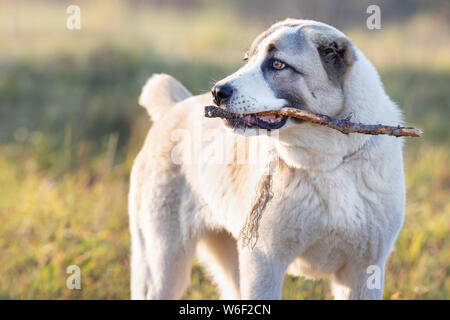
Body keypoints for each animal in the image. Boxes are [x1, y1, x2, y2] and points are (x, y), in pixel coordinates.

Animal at [128, 19, 406, 300]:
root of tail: (175, 107)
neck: (328, 163)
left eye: (278, 64)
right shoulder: (264, 264)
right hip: (160, 266)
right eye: (247, 59)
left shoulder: (362, 271)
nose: (217, 92)